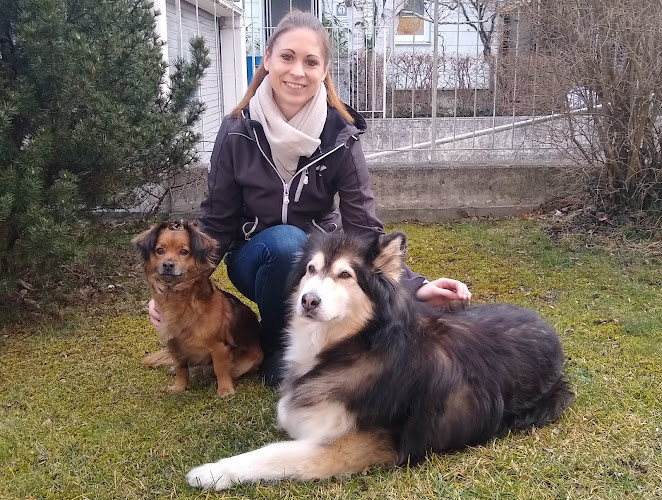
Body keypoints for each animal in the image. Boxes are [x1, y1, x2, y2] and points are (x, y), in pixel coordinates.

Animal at [133, 221, 263, 396]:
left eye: (184, 251)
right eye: (160, 250)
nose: (167, 265)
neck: (177, 295)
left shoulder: (219, 347)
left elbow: (221, 369)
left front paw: (225, 390)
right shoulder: (174, 346)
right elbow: (181, 369)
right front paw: (178, 388)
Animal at [186, 231, 573, 489]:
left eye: (345, 275)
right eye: (310, 269)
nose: (308, 301)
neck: (356, 346)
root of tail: (547, 328)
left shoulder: (349, 449)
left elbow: (272, 454)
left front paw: (212, 472)